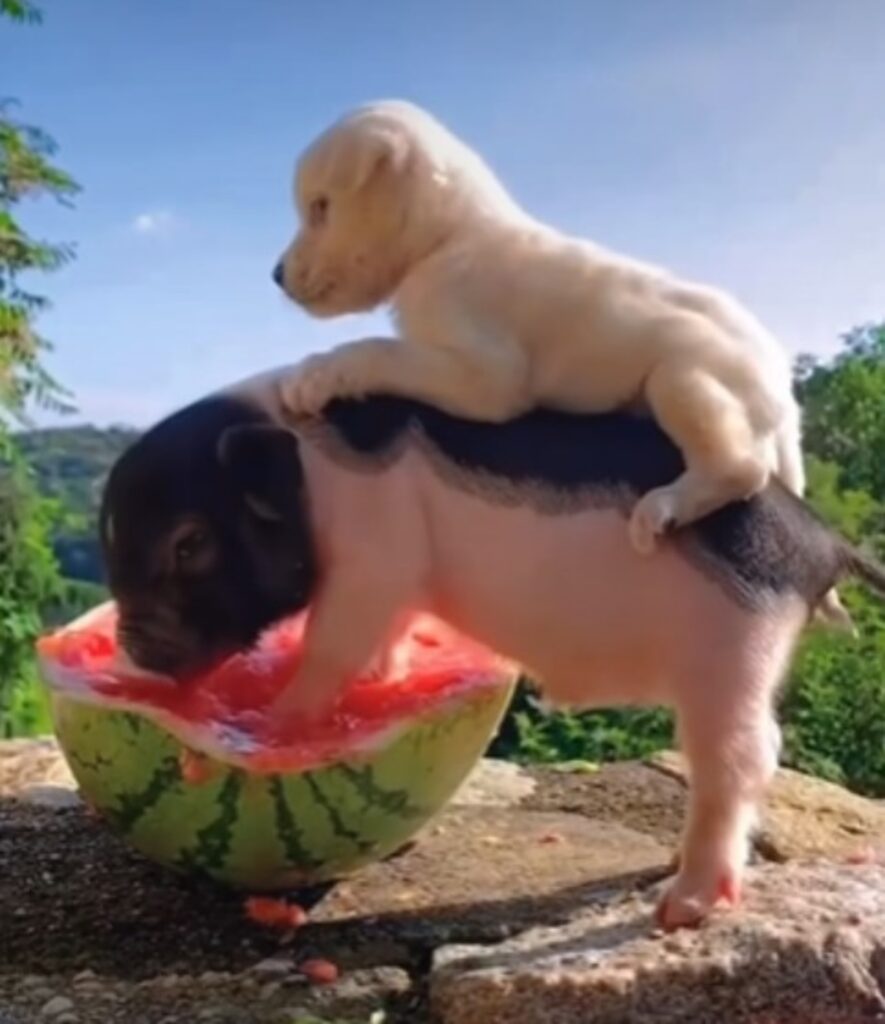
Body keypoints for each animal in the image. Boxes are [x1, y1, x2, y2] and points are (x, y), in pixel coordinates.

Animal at [274, 99, 852, 626]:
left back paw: (664, 507)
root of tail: (783, 396)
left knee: (740, 467)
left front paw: (315, 375)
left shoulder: (487, 377)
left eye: (320, 206)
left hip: (683, 379)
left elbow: (379, 350)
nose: (276, 276)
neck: (447, 236)